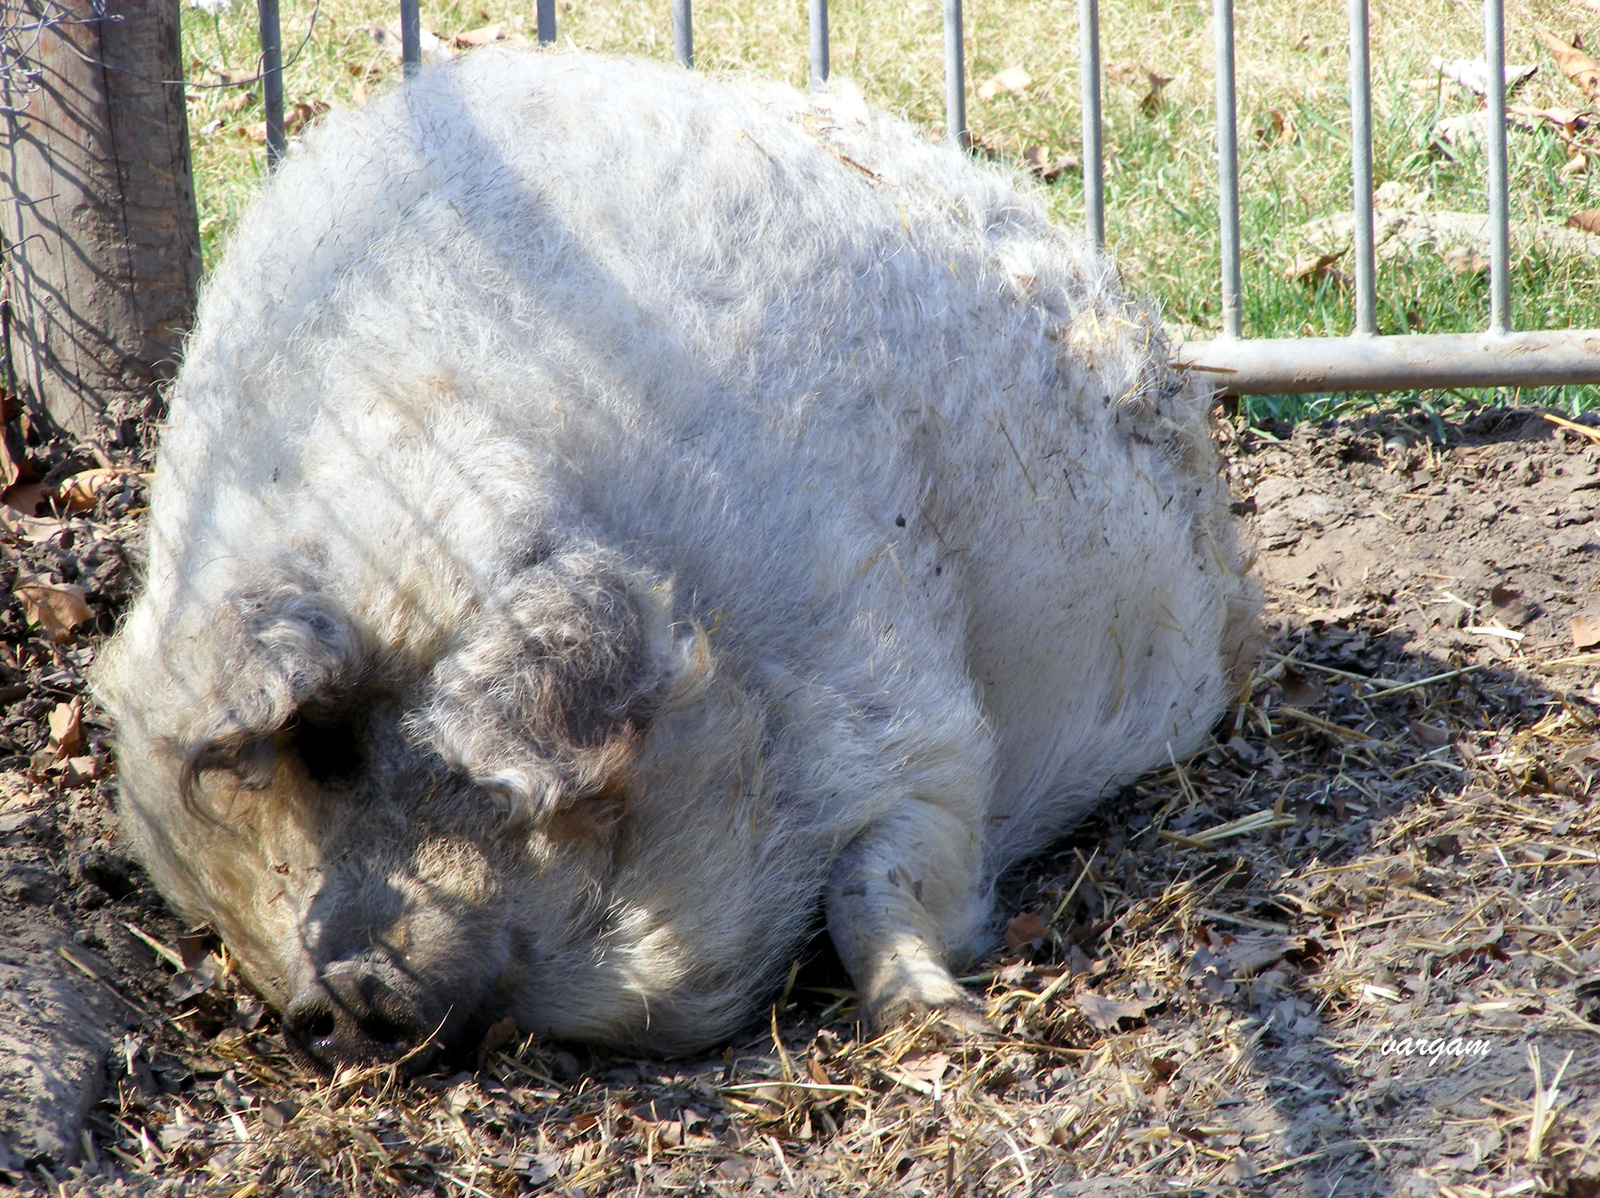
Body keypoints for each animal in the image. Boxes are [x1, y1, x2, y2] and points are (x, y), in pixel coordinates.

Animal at [93, 48, 1254, 1068]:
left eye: (353, 747)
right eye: (315, 749)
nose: (336, 997)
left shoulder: (914, 705)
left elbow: (875, 881)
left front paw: (947, 1028)